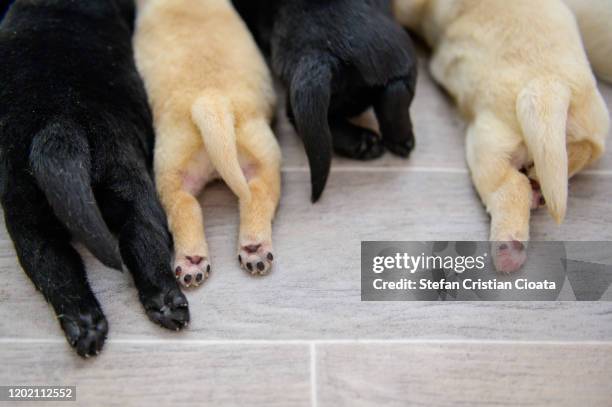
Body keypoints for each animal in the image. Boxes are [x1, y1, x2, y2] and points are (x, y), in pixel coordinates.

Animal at [0, 0, 189, 356]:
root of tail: (59, 126)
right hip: (127, 181)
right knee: (143, 237)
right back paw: (168, 304)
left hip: (26, 211)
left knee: (52, 266)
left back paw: (85, 327)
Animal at [134, 0, 282, 286]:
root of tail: (211, 101)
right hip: (260, 154)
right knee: (255, 195)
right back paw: (249, 250)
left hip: (172, 172)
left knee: (185, 207)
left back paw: (193, 261)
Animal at [232, 0, 418, 202]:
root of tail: (321, 53)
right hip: (401, 58)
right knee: (395, 99)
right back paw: (399, 142)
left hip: (298, 98)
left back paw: (363, 143)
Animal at [394, 0, 608, 274]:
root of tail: (549, 84)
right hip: (591, 123)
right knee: (585, 151)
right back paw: (539, 185)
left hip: (489, 145)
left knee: (511, 187)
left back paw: (509, 248)